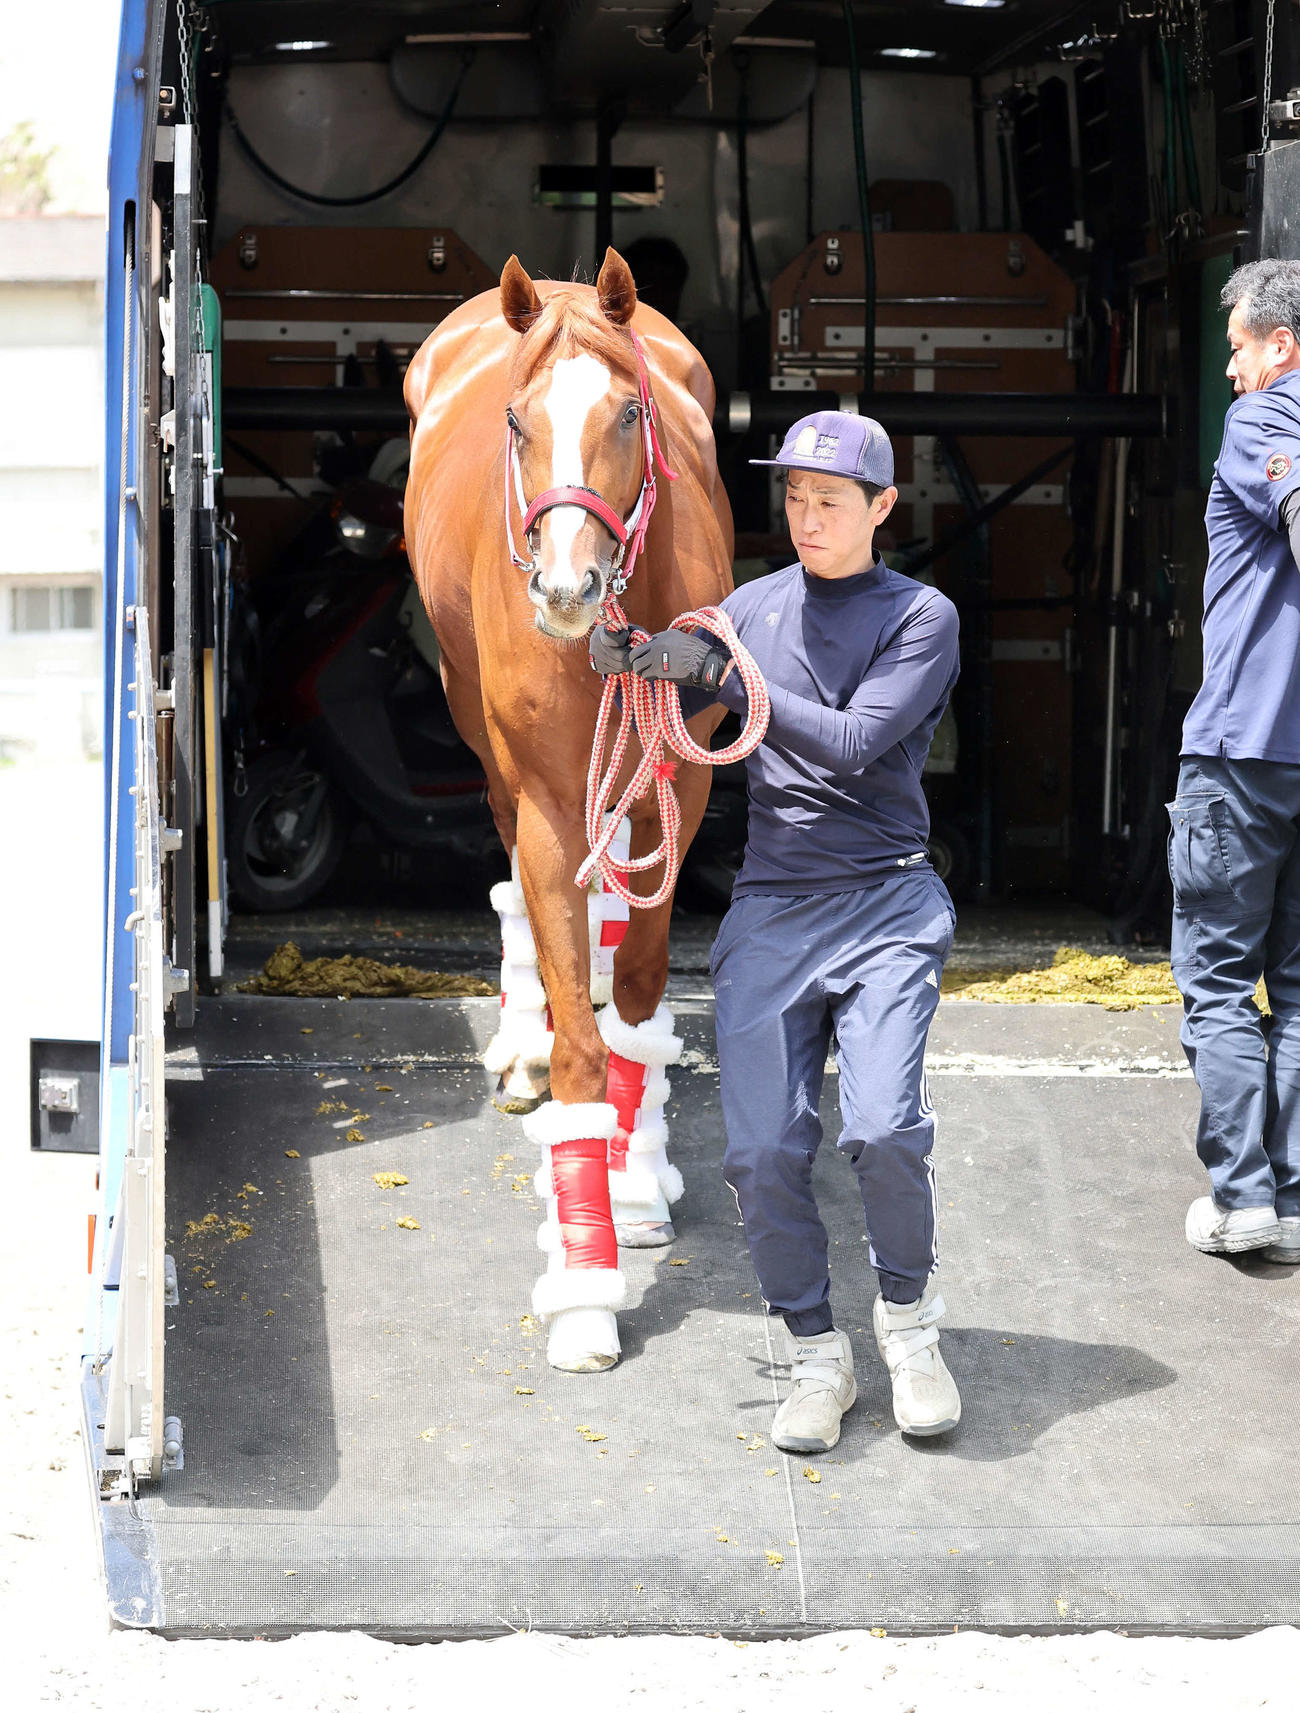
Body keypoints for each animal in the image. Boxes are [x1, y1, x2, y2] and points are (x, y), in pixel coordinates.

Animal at [403, 248, 733, 1372]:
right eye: (516, 419)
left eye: (630, 412)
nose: (565, 587)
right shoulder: (544, 796)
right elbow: (583, 1039)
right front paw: (587, 1288)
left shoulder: (683, 781)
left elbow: (634, 991)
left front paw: (633, 1179)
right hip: (476, 722)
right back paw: (527, 1040)